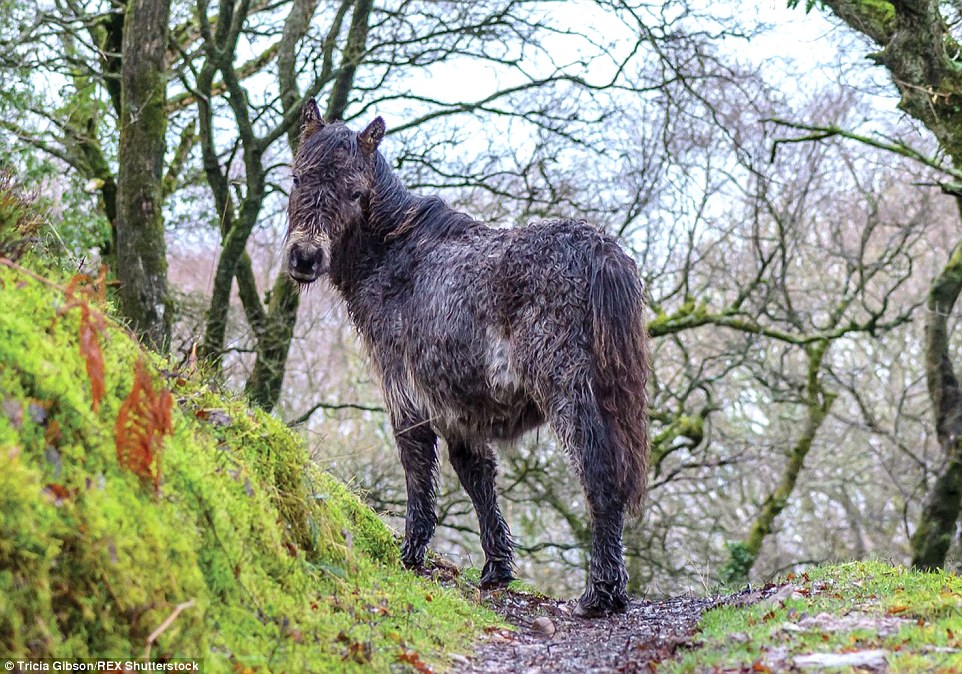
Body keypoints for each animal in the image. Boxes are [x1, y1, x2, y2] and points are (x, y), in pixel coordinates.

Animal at [282, 100, 648, 616]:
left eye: (354, 192)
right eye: (297, 178)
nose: (305, 258)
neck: (395, 252)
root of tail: (601, 250)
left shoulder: (405, 394)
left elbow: (417, 466)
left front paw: (411, 554)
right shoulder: (457, 408)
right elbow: (477, 475)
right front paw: (497, 570)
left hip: (568, 393)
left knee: (599, 472)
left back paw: (601, 593)